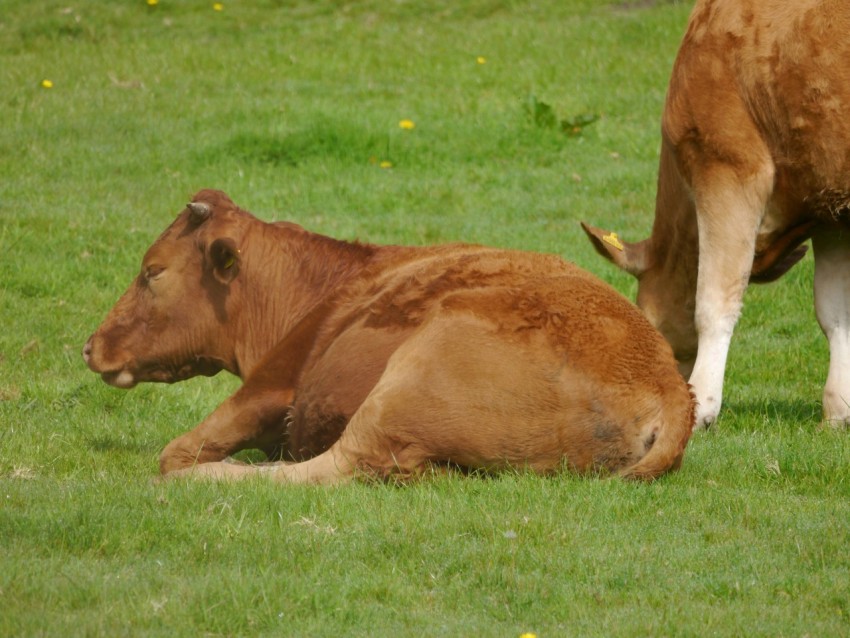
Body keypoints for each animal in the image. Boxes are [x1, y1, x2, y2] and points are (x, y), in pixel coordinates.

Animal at [83, 190, 688, 484]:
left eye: (153, 271)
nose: (91, 346)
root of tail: (668, 382)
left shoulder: (270, 385)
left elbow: (175, 451)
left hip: (407, 381)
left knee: (330, 468)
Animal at [580, 1, 848, 430]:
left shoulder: (726, 166)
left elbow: (714, 298)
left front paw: (701, 404)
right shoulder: (830, 209)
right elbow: (833, 309)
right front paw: (839, 410)